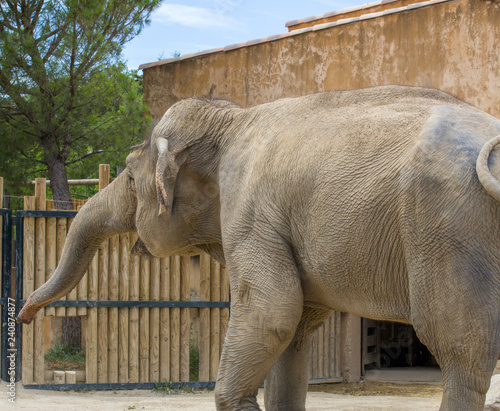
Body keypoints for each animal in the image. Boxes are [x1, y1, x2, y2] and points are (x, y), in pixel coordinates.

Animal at [17, 85, 500, 410]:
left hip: (446, 227)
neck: (230, 120)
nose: (22, 315)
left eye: (132, 179)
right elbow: (296, 328)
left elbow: (272, 311)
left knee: (462, 352)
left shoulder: (250, 213)